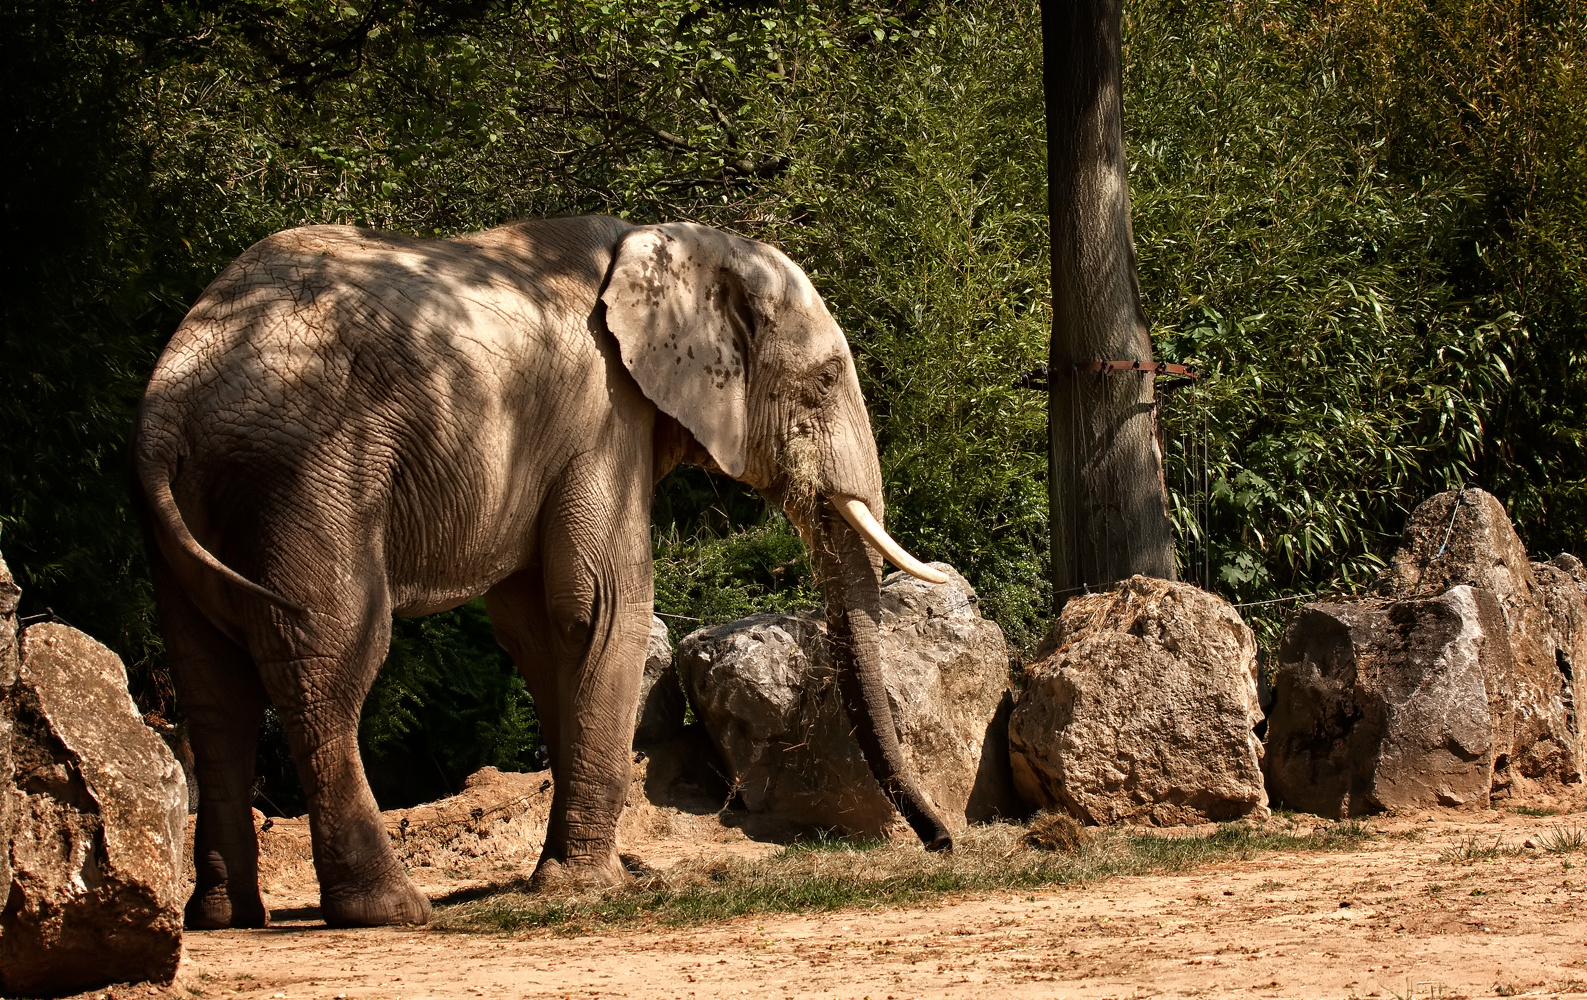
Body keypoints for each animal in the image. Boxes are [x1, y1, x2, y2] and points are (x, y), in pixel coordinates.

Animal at [133, 214, 952, 933]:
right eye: (825, 380)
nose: (942, 845)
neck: (670, 241)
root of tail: (170, 401)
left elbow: (538, 631)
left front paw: (591, 872)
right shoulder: (603, 416)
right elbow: (602, 606)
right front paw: (592, 885)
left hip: (203, 511)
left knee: (214, 693)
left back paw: (223, 916)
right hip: (309, 480)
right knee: (328, 665)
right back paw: (389, 909)